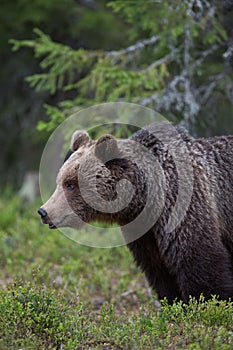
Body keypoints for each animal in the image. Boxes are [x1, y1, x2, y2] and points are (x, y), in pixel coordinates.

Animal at [38, 123, 233, 304]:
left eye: (70, 184)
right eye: (59, 181)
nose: (43, 211)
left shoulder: (182, 207)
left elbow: (199, 261)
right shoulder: (142, 231)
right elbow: (159, 271)